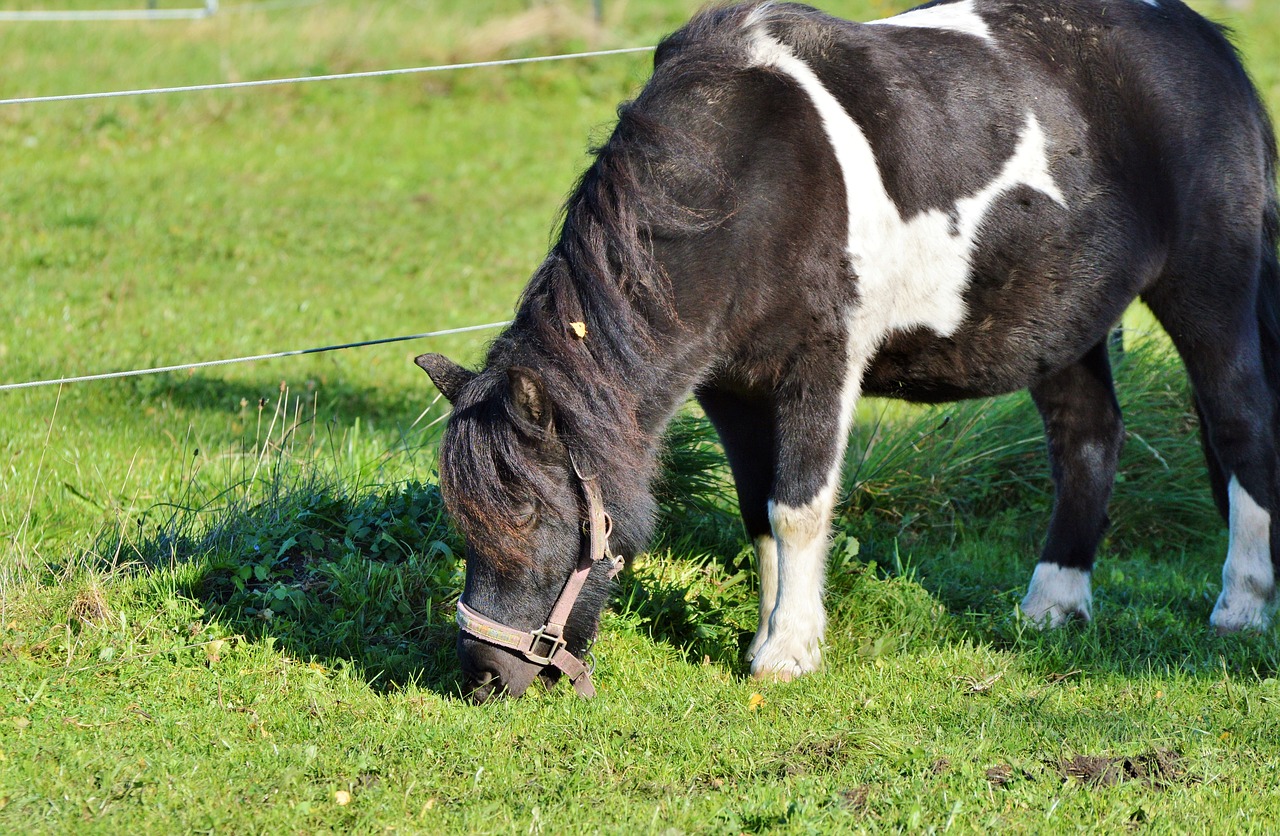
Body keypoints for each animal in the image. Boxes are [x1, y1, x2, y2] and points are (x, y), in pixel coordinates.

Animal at [414, 0, 1274, 701]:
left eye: (533, 513)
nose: (483, 677)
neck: (747, 175)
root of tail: (1209, 46)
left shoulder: (818, 369)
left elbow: (797, 509)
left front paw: (788, 654)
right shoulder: (732, 391)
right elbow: (757, 511)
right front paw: (766, 636)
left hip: (1210, 291)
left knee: (1240, 429)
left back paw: (1240, 607)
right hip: (1065, 323)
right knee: (1087, 438)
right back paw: (1051, 607)